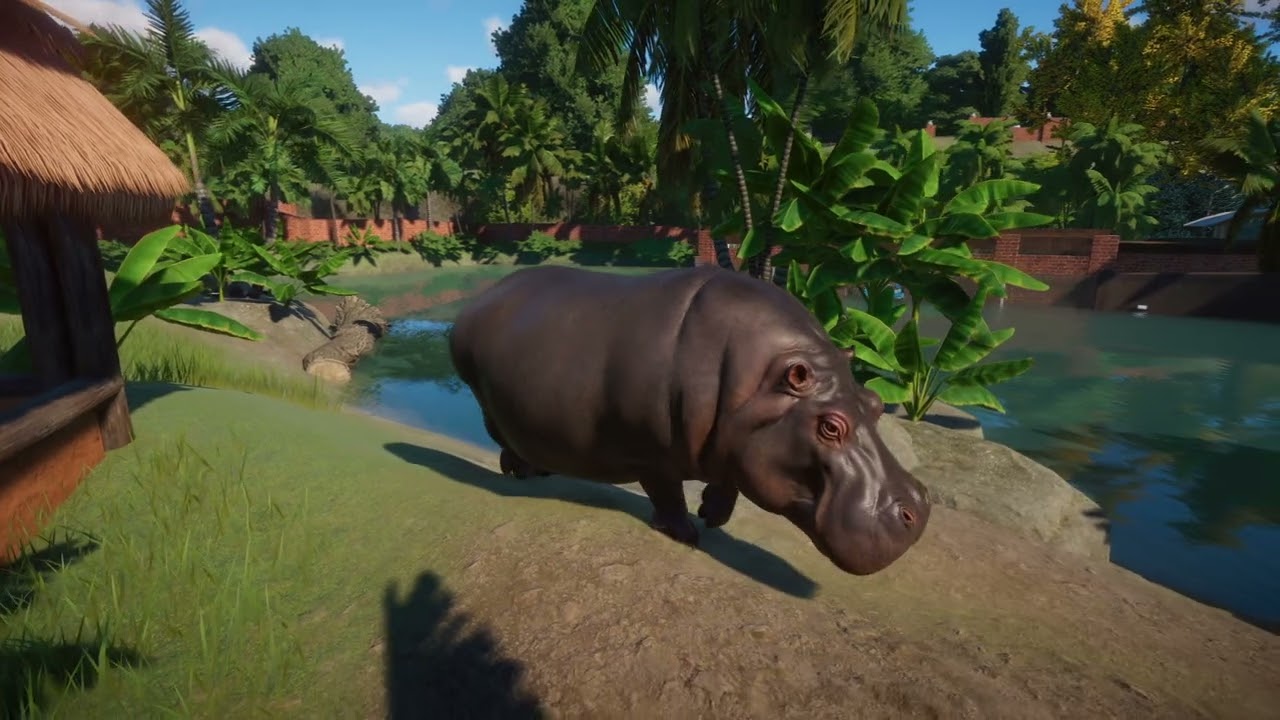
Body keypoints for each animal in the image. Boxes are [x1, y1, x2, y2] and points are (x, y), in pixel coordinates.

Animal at [447, 264, 931, 575]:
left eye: (874, 401)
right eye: (830, 426)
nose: (919, 508)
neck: (755, 383)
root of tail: (473, 306)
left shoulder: (733, 439)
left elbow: (728, 480)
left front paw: (713, 516)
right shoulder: (652, 453)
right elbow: (667, 494)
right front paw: (686, 534)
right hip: (487, 405)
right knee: (503, 440)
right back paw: (521, 473)